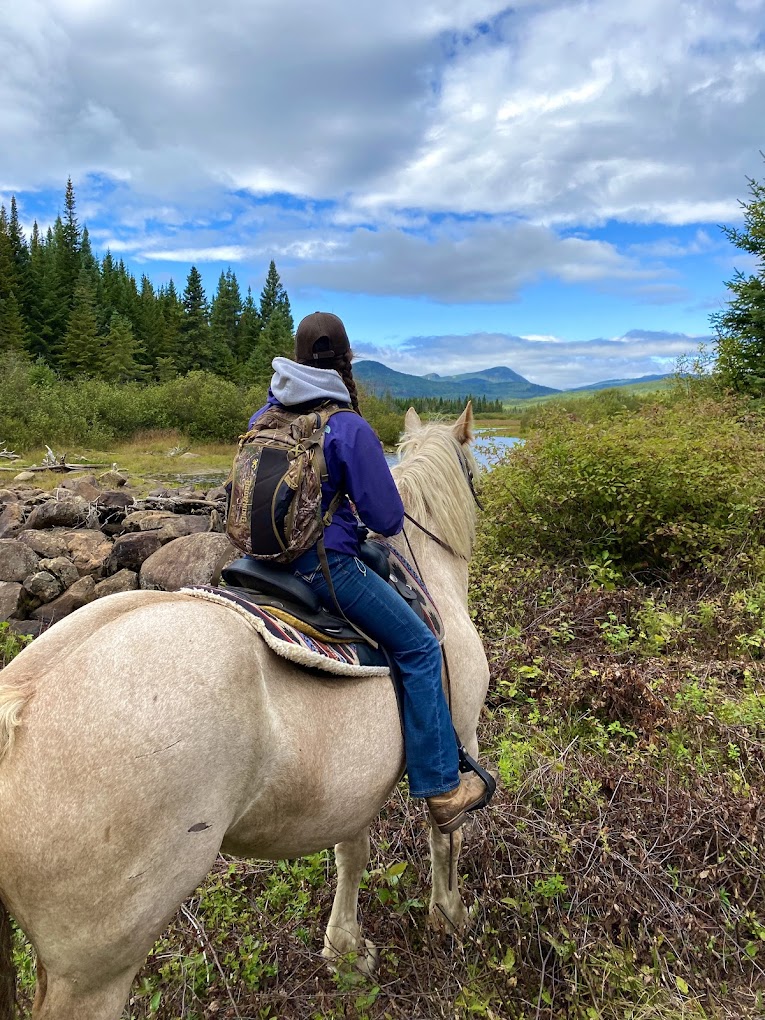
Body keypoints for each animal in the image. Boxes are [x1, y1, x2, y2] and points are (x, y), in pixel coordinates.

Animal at [0, 405, 491, 1020]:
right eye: (473, 471)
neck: (424, 572)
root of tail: (21, 706)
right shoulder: (460, 733)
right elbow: (447, 834)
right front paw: (450, 916)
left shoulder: (354, 786)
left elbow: (351, 854)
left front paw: (345, 951)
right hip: (92, 971)